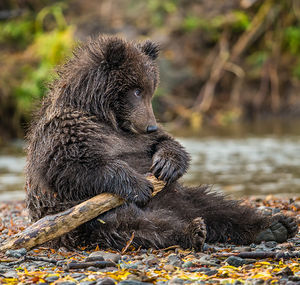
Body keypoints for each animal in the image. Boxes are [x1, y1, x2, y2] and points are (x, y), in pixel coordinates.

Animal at [25, 35, 298, 248]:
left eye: (150, 89)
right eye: (137, 90)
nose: (150, 125)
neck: (104, 115)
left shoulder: (137, 138)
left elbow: (167, 143)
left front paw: (167, 163)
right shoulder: (66, 131)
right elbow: (69, 166)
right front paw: (137, 184)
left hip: (179, 195)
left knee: (218, 206)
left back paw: (275, 225)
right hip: (87, 220)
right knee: (136, 227)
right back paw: (192, 231)